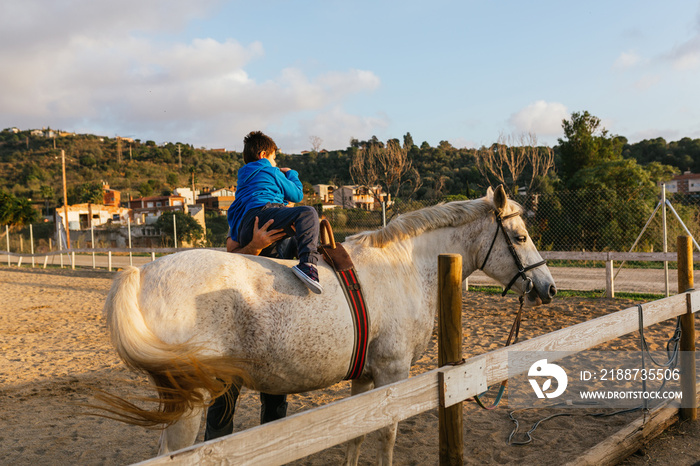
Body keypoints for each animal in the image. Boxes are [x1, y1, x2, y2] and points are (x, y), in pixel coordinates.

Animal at [101, 185, 556, 462]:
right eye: (519, 237)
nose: (548, 287)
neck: (404, 267)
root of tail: (141, 273)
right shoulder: (393, 373)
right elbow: (386, 436)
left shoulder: (367, 377)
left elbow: (357, 434)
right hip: (190, 403)